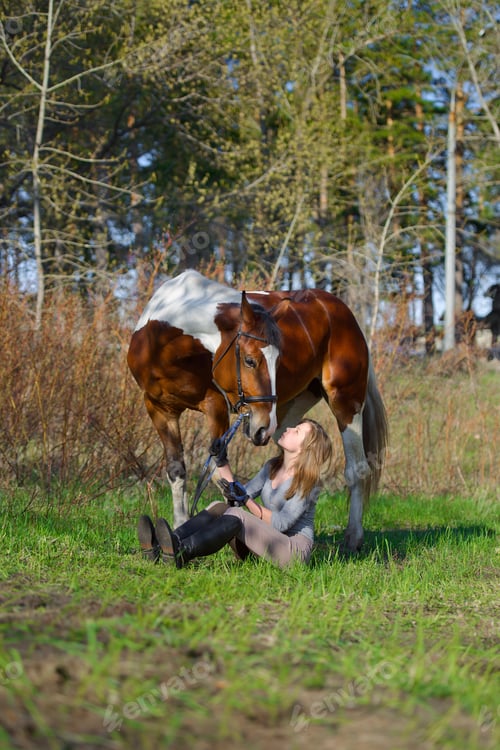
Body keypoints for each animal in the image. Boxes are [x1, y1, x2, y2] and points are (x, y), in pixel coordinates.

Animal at [127, 270, 388, 552]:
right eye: (249, 361)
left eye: (278, 360)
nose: (262, 426)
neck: (162, 342)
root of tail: (339, 309)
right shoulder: (159, 409)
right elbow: (177, 470)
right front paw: (177, 528)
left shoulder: (215, 406)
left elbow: (219, 472)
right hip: (286, 416)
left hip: (345, 402)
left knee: (357, 469)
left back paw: (353, 538)